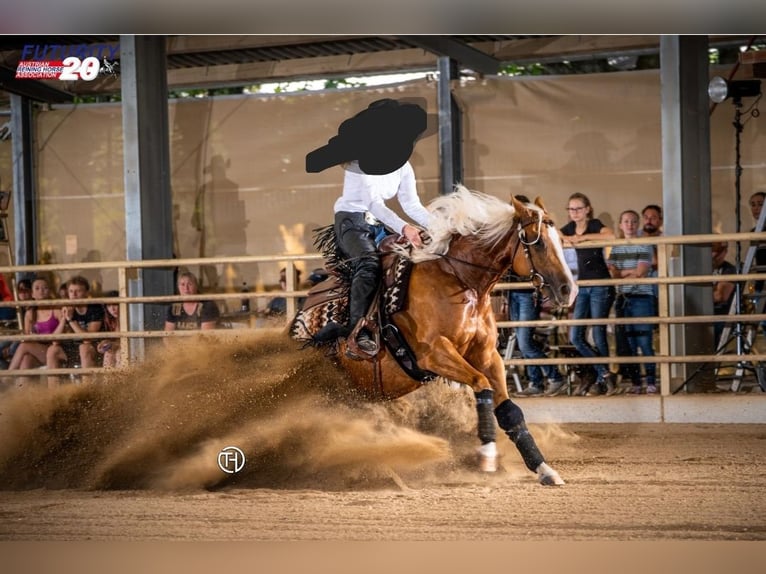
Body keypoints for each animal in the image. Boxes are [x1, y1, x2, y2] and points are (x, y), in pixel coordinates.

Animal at [292, 187, 580, 488]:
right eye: (538, 243)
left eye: (560, 240)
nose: (568, 290)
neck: (458, 279)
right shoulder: (434, 354)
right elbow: (482, 385)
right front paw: (487, 455)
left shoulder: (487, 355)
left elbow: (510, 411)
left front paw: (544, 469)